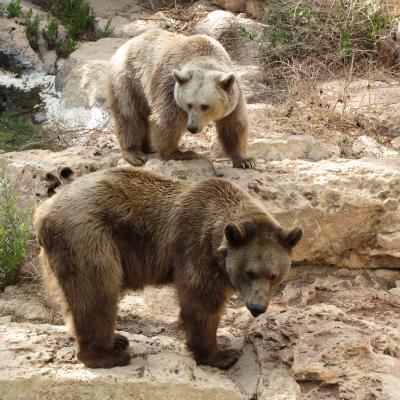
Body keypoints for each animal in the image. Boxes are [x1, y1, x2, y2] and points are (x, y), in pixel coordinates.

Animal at [33, 168, 304, 368]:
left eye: (274, 276)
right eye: (250, 272)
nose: (258, 308)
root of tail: (42, 212)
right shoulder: (196, 249)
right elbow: (201, 303)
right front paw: (222, 354)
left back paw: (115, 340)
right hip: (88, 237)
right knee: (96, 293)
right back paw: (107, 355)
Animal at [108, 28, 255, 169]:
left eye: (205, 106)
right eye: (189, 104)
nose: (192, 127)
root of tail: (127, 44)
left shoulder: (234, 96)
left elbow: (234, 125)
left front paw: (245, 161)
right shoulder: (169, 87)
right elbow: (168, 120)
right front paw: (181, 153)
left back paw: (148, 147)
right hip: (129, 80)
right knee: (129, 115)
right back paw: (135, 154)